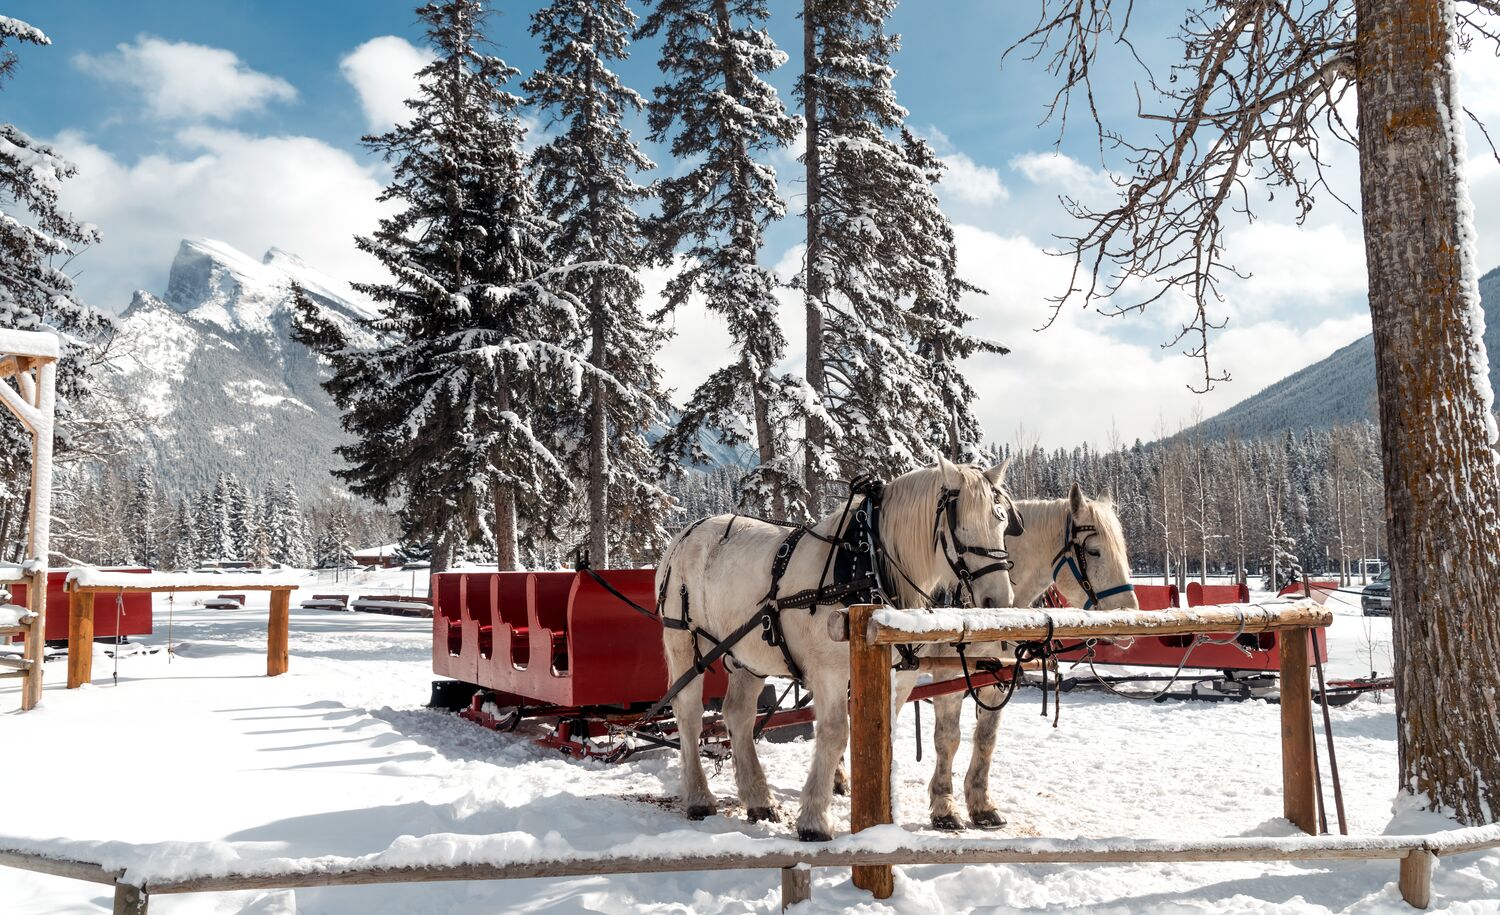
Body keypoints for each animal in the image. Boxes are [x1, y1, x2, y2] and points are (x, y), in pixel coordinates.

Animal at [655, 459, 1021, 842]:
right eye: (959, 523)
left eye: (1001, 522)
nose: (998, 600)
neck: (867, 565)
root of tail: (686, 533)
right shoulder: (829, 674)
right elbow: (834, 734)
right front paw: (814, 819)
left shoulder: (898, 676)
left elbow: (884, 734)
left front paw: (886, 813)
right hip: (683, 640)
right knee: (689, 714)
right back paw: (699, 798)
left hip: (747, 654)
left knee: (738, 715)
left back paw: (759, 801)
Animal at [921, 482, 1139, 830]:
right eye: (1094, 551)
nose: (1129, 616)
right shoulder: (948, 675)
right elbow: (948, 739)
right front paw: (944, 806)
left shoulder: (996, 675)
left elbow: (986, 739)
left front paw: (982, 804)